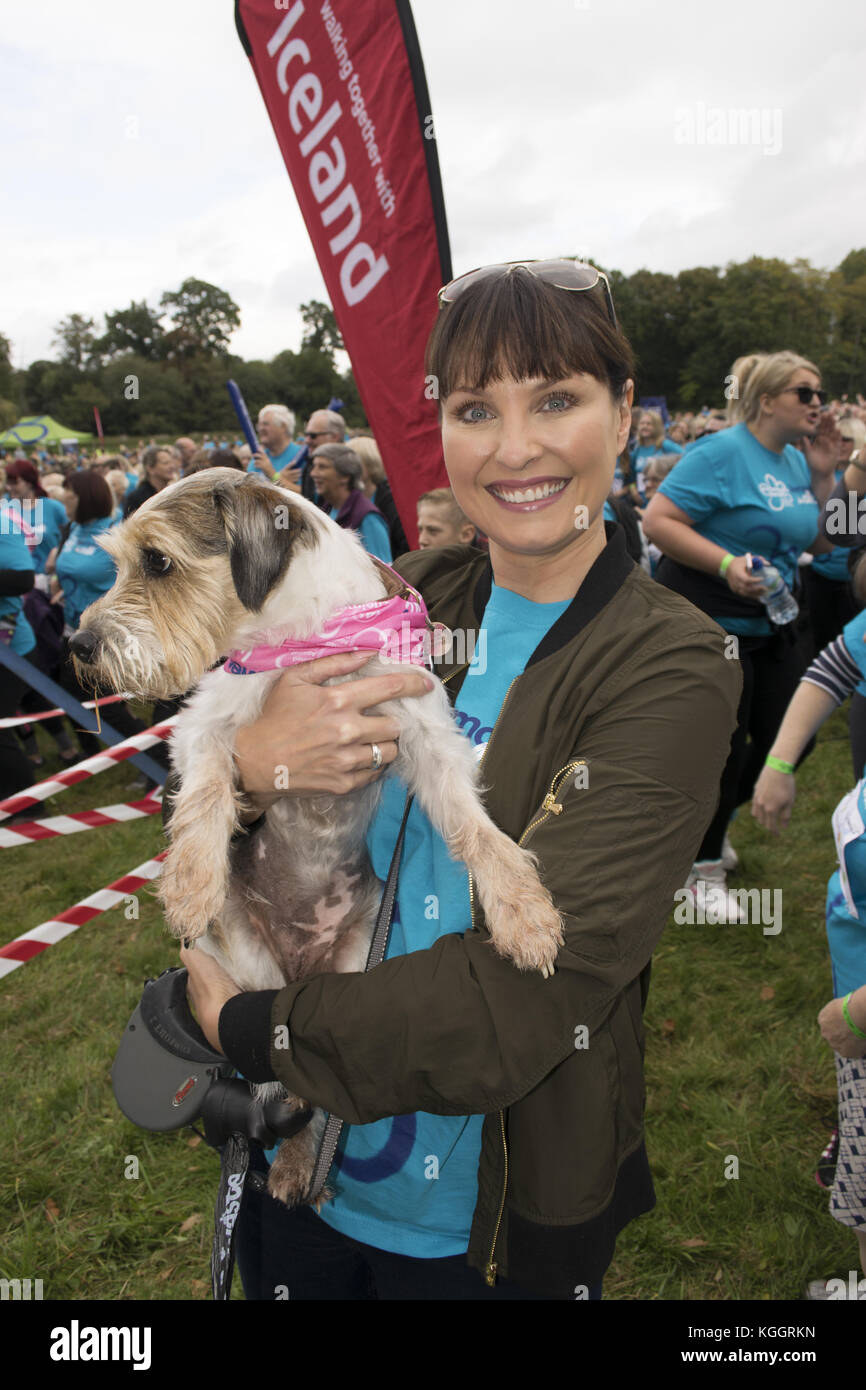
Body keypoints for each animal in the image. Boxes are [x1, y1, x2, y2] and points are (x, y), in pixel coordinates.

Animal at [71, 469, 567, 1206]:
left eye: (157, 561)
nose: (79, 646)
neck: (307, 636)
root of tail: (301, 964)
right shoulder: (205, 726)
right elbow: (206, 792)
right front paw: (189, 884)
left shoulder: (426, 736)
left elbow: (477, 830)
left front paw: (523, 914)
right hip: (251, 971)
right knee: (278, 1077)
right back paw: (294, 1160)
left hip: (357, 959)